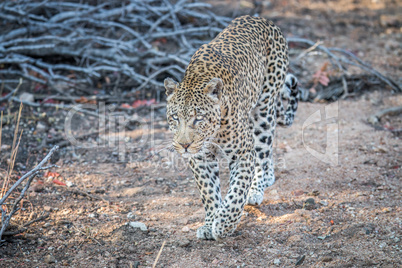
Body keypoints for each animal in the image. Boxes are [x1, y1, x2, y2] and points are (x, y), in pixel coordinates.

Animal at [163, 15, 298, 240]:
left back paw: (258, 187)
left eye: (199, 118)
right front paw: (210, 223)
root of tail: (261, 18)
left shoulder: (242, 154)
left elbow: (237, 193)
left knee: (263, 148)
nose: (184, 145)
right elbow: (209, 192)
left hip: (264, 108)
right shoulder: (200, 158)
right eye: (175, 117)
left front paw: (224, 225)